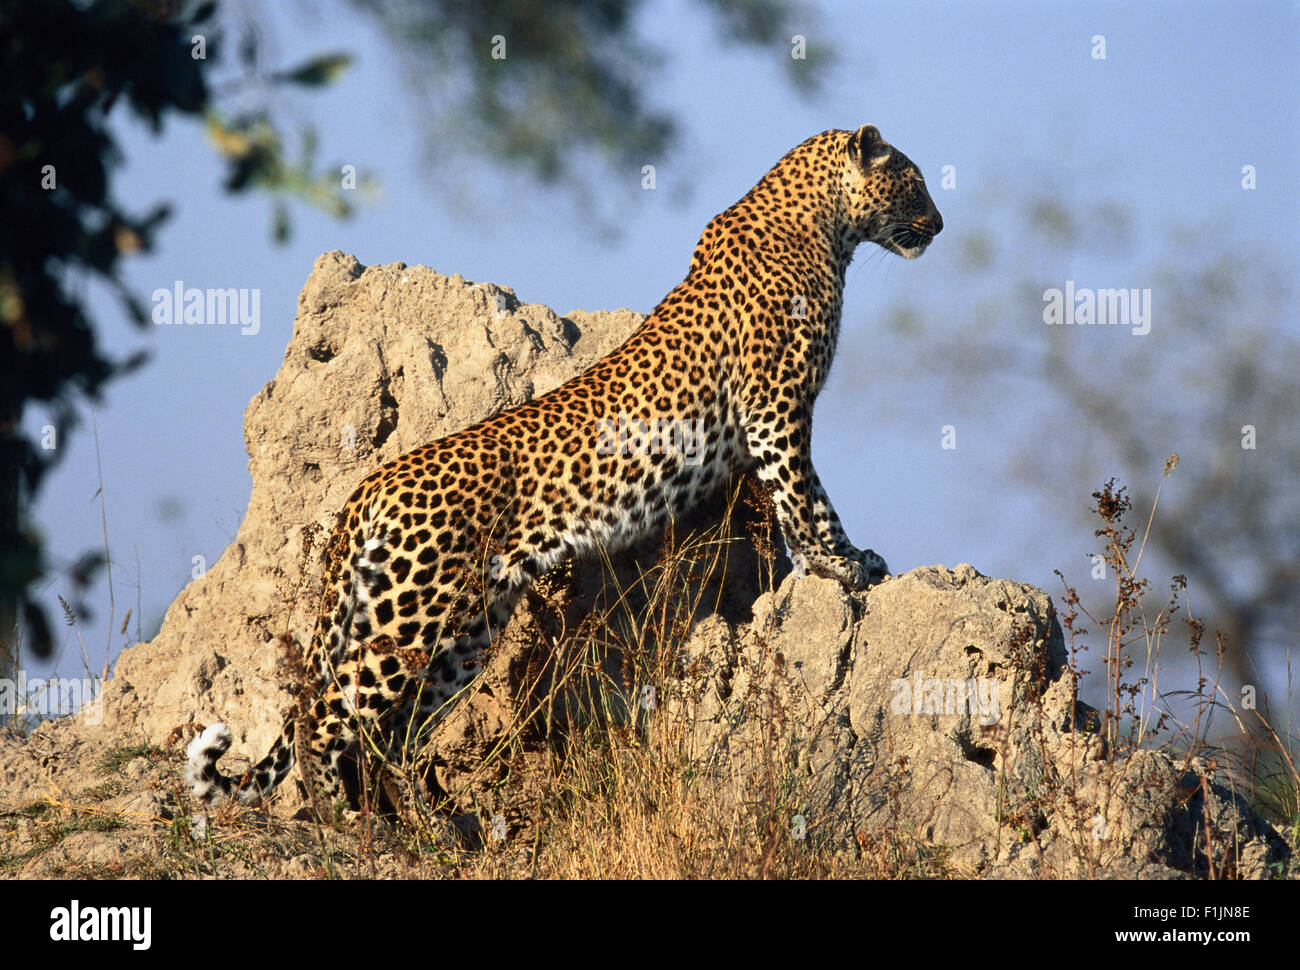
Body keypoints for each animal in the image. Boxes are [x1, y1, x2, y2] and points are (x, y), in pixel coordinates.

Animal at [188, 122, 946, 821]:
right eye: (913, 182)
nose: (938, 226)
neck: (825, 226)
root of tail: (371, 484)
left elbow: (798, 496)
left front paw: (845, 561)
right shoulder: (777, 407)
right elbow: (807, 495)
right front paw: (843, 562)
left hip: (465, 627)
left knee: (395, 732)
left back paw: (433, 826)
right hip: (412, 612)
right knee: (324, 715)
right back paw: (341, 822)